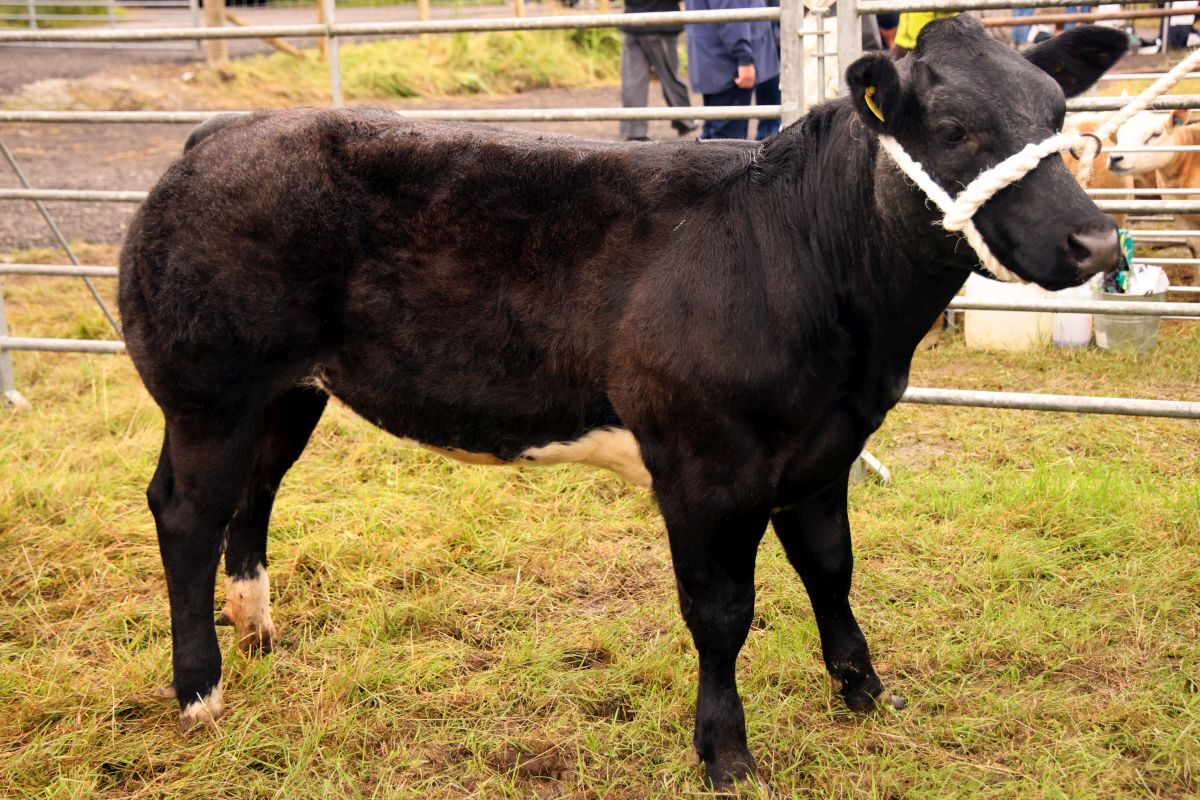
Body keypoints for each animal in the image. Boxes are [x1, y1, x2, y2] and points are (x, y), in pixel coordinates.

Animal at [117, 17, 1127, 790]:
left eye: (1058, 112)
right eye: (955, 128)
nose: (1095, 241)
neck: (810, 260)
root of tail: (224, 131)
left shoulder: (821, 452)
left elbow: (833, 572)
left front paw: (867, 694)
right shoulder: (706, 466)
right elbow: (722, 611)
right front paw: (727, 756)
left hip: (286, 393)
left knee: (251, 499)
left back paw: (257, 631)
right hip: (209, 392)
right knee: (186, 512)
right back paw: (200, 690)